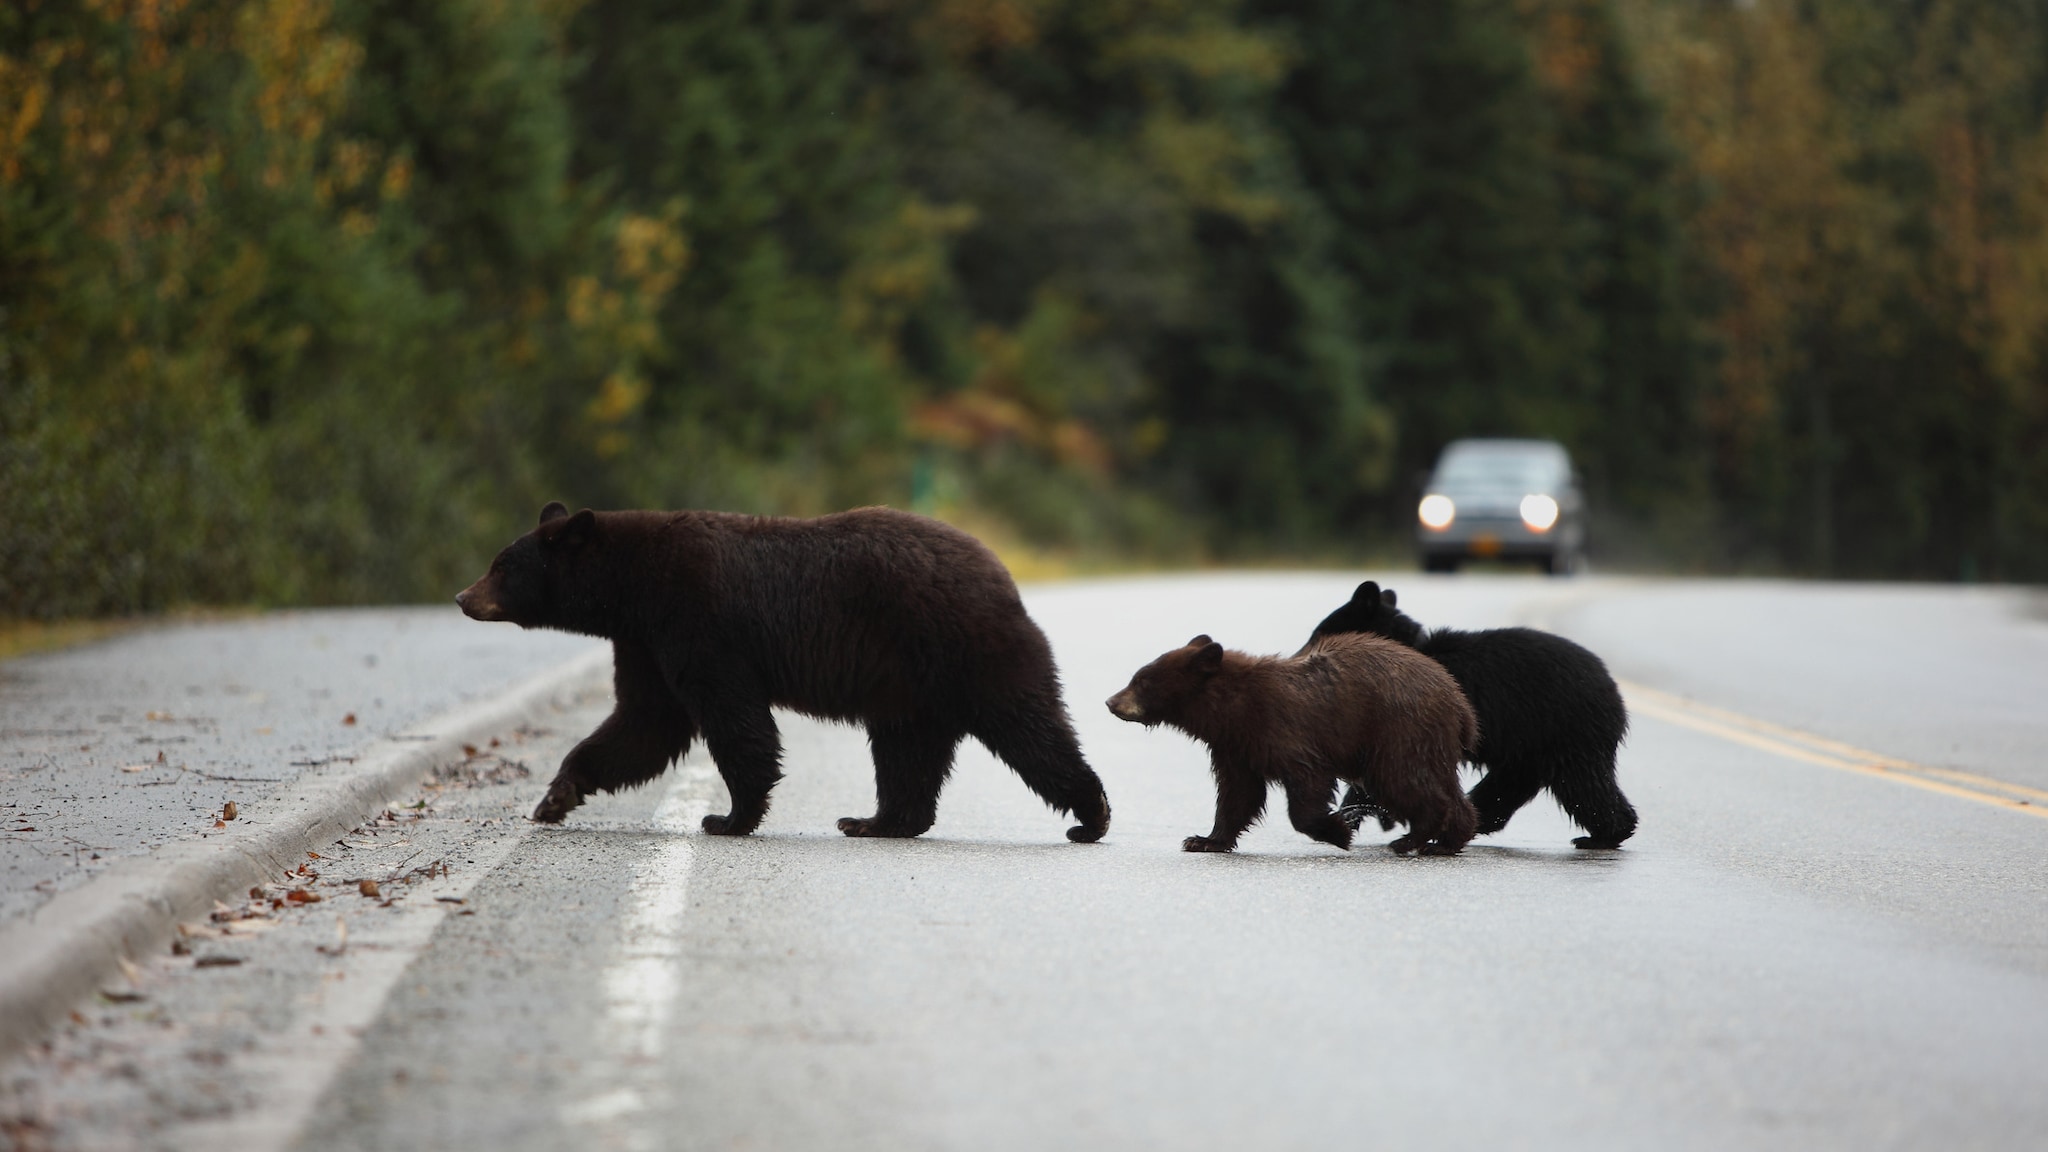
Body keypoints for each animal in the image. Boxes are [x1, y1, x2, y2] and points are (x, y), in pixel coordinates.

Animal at [458, 498, 1114, 840]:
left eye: (500, 565)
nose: (463, 596)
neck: (632, 588)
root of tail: (1001, 572)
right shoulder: (644, 642)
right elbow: (645, 722)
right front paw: (556, 797)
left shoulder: (698, 621)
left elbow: (730, 718)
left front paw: (727, 816)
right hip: (909, 688)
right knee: (907, 752)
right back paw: (875, 820)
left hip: (964, 650)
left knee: (1028, 727)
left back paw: (1091, 815)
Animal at [1114, 627, 1482, 852]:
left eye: (1142, 680)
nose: (1111, 702)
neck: (1233, 709)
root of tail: (1460, 704)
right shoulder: (1236, 746)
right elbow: (1238, 793)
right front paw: (1203, 839)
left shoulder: (1283, 728)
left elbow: (1307, 780)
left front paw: (1337, 831)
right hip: (1429, 741)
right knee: (1439, 785)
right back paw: (1449, 840)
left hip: (1398, 731)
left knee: (1403, 779)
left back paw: (1409, 840)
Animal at [1310, 582, 1630, 844]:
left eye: (1319, 633)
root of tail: (1614, 691)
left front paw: (1350, 814)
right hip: (1530, 749)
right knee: (1508, 787)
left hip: (1567, 733)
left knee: (1582, 785)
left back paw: (1604, 835)